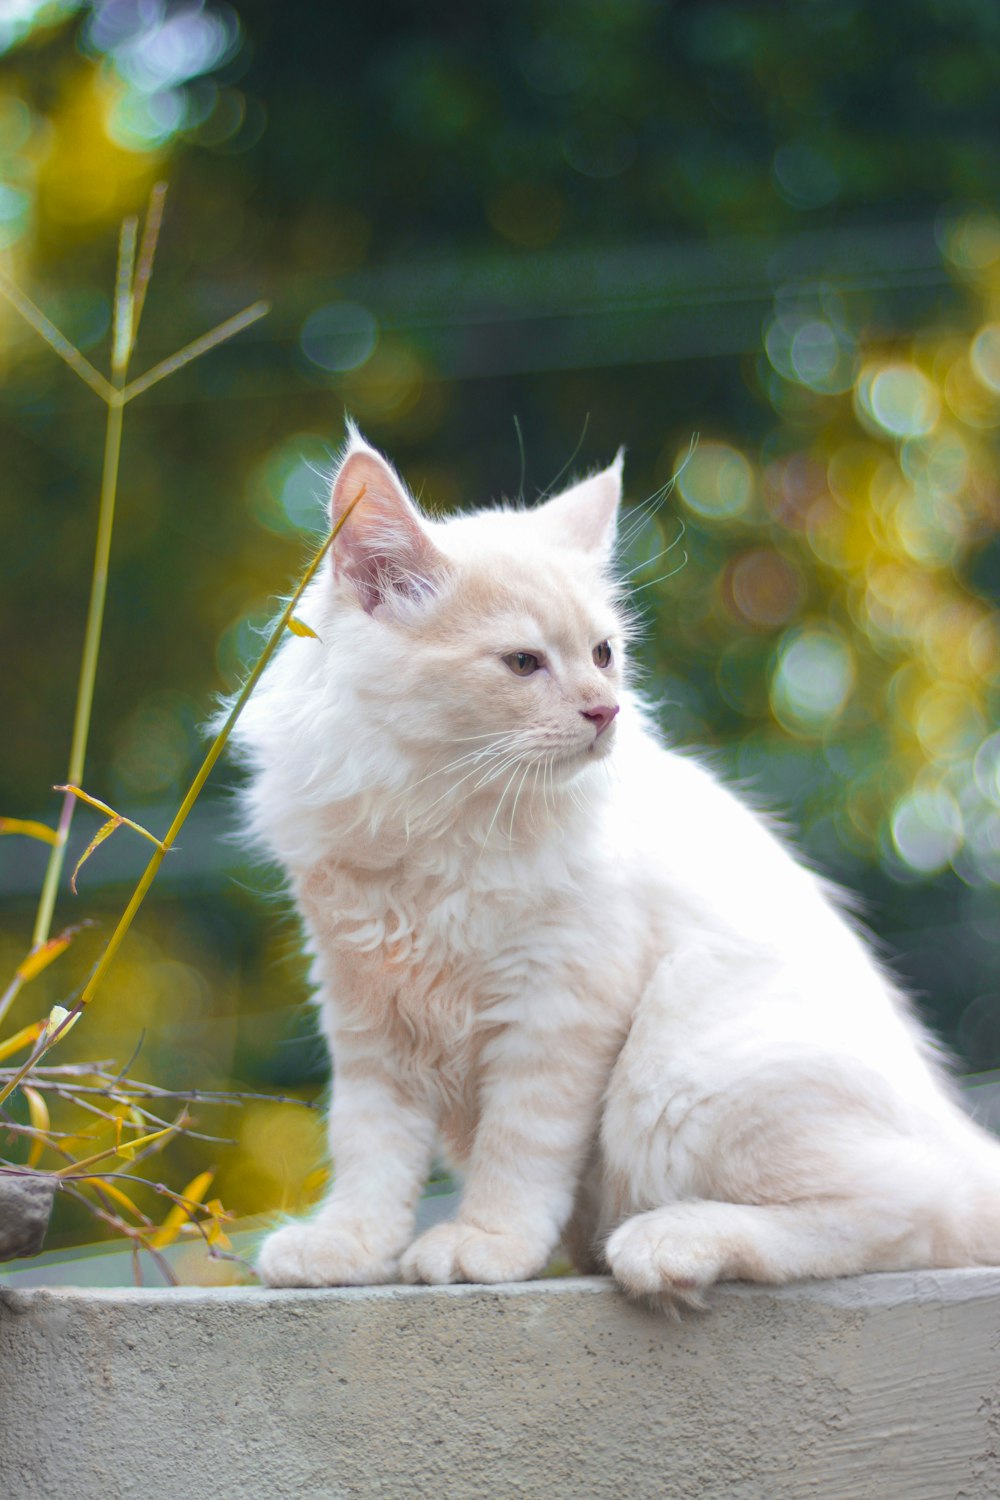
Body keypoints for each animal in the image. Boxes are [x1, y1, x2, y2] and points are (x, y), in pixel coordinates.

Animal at [232, 426, 1000, 1302]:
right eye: (524, 664)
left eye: (603, 654)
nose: (606, 712)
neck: (440, 816)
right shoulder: (366, 1012)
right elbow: (370, 1153)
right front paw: (348, 1249)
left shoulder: (557, 1006)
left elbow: (519, 1152)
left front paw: (486, 1245)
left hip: (678, 1078)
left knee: (909, 1216)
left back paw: (665, 1244)